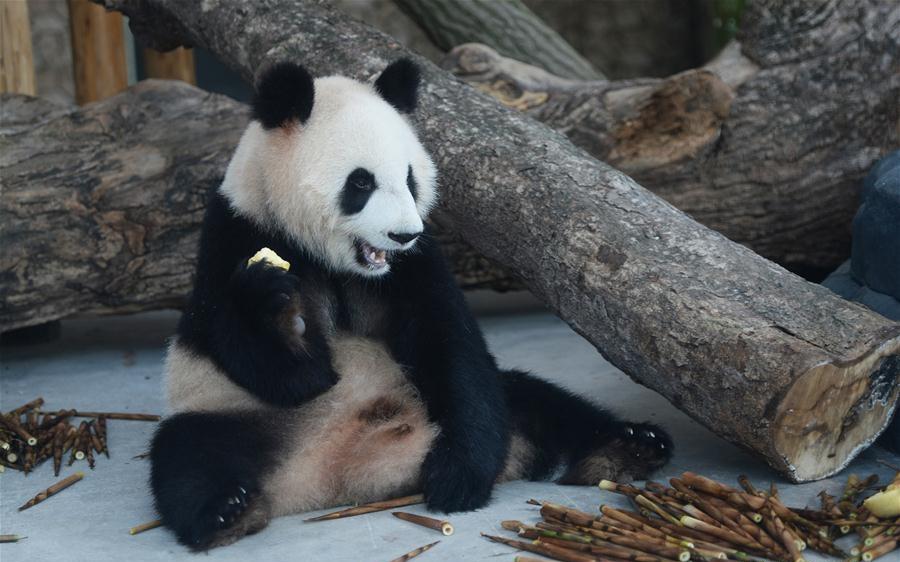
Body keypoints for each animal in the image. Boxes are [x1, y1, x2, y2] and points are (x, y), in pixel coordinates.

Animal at [151, 59, 672, 548]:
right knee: (190, 458)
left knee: (530, 400)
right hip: (230, 411)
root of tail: (334, 479)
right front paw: (280, 312)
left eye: (409, 178)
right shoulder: (234, 234)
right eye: (360, 183)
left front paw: (458, 477)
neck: (335, 261)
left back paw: (626, 448)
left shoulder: (414, 265)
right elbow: (282, 370)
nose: (402, 233)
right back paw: (227, 513)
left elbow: (450, 347)